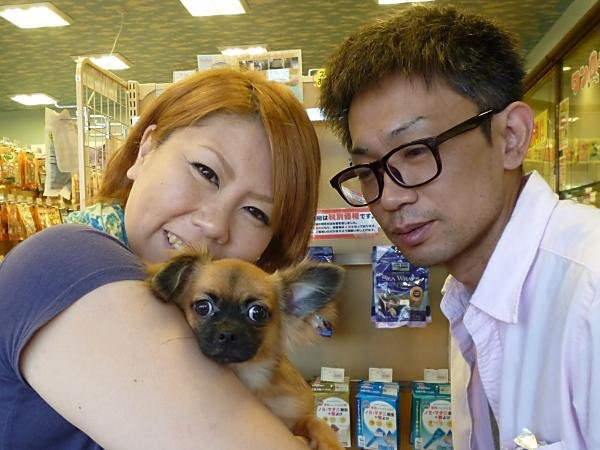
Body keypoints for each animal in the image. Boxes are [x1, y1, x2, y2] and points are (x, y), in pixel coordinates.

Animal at [147, 248, 345, 450]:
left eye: (257, 312)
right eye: (203, 307)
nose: (227, 333)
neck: (249, 373)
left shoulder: (296, 415)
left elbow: (315, 422)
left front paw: (330, 443)